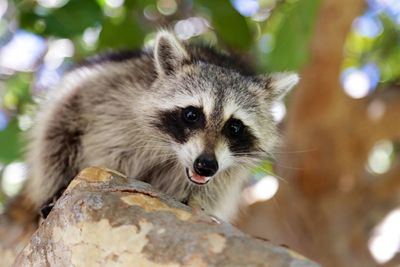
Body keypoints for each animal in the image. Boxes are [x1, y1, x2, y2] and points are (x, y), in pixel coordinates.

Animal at [21, 30, 296, 223]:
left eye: (234, 127)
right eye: (191, 114)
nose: (205, 165)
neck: (173, 153)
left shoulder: (225, 174)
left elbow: (208, 193)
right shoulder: (112, 95)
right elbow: (98, 148)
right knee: (54, 137)